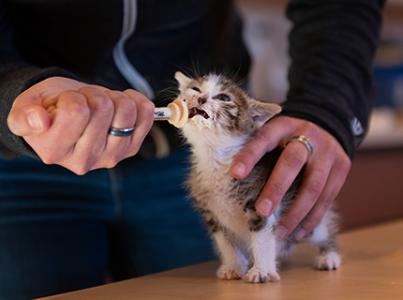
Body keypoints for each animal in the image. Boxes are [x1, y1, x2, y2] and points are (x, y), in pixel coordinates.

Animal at [176, 72, 340, 284]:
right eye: (195, 89)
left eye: (224, 97)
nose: (201, 99)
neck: (215, 158)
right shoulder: (210, 212)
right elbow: (225, 242)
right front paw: (234, 266)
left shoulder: (260, 202)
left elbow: (262, 238)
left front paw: (261, 270)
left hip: (309, 223)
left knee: (324, 232)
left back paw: (329, 255)